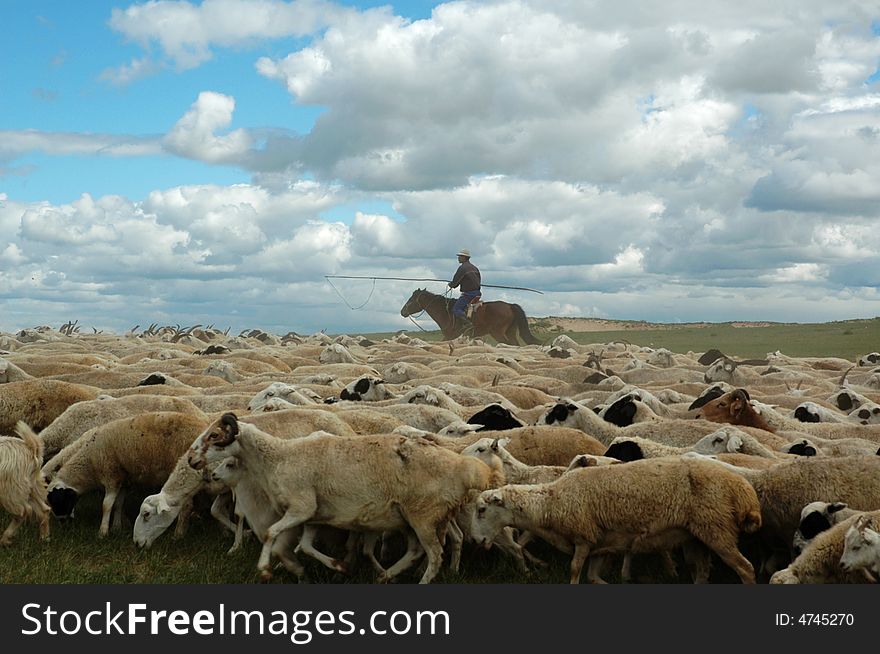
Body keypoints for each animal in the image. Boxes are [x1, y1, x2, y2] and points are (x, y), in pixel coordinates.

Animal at [48, 416, 211, 540]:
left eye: (58, 500)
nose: (63, 524)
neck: (90, 463)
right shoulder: (124, 480)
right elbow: (119, 504)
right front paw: (116, 527)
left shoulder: (111, 475)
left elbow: (106, 505)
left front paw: (102, 532)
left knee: (187, 506)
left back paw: (178, 534)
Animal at [186, 416, 502, 584]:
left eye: (215, 435)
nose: (190, 460)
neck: (277, 457)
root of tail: (466, 469)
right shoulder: (312, 514)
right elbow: (302, 545)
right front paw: (331, 567)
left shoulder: (300, 507)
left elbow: (270, 533)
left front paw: (264, 570)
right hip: (409, 518)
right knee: (416, 551)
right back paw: (386, 576)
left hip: (423, 516)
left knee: (435, 555)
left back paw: (419, 580)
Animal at [400, 288, 540, 346]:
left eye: (411, 300)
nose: (402, 312)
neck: (445, 311)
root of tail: (510, 306)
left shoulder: (450, 335)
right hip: (510, 331)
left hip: (498, 333)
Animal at [470, 458, 760, 588]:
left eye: (482, 510)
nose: (476, 540)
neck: (551, 503)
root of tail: (742, 488)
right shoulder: (601, 544)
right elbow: (593, 577)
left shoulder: (583, 538)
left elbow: (575, 571)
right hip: (697, 536)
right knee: (701, 572)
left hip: (717, 529)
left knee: (746, 569)